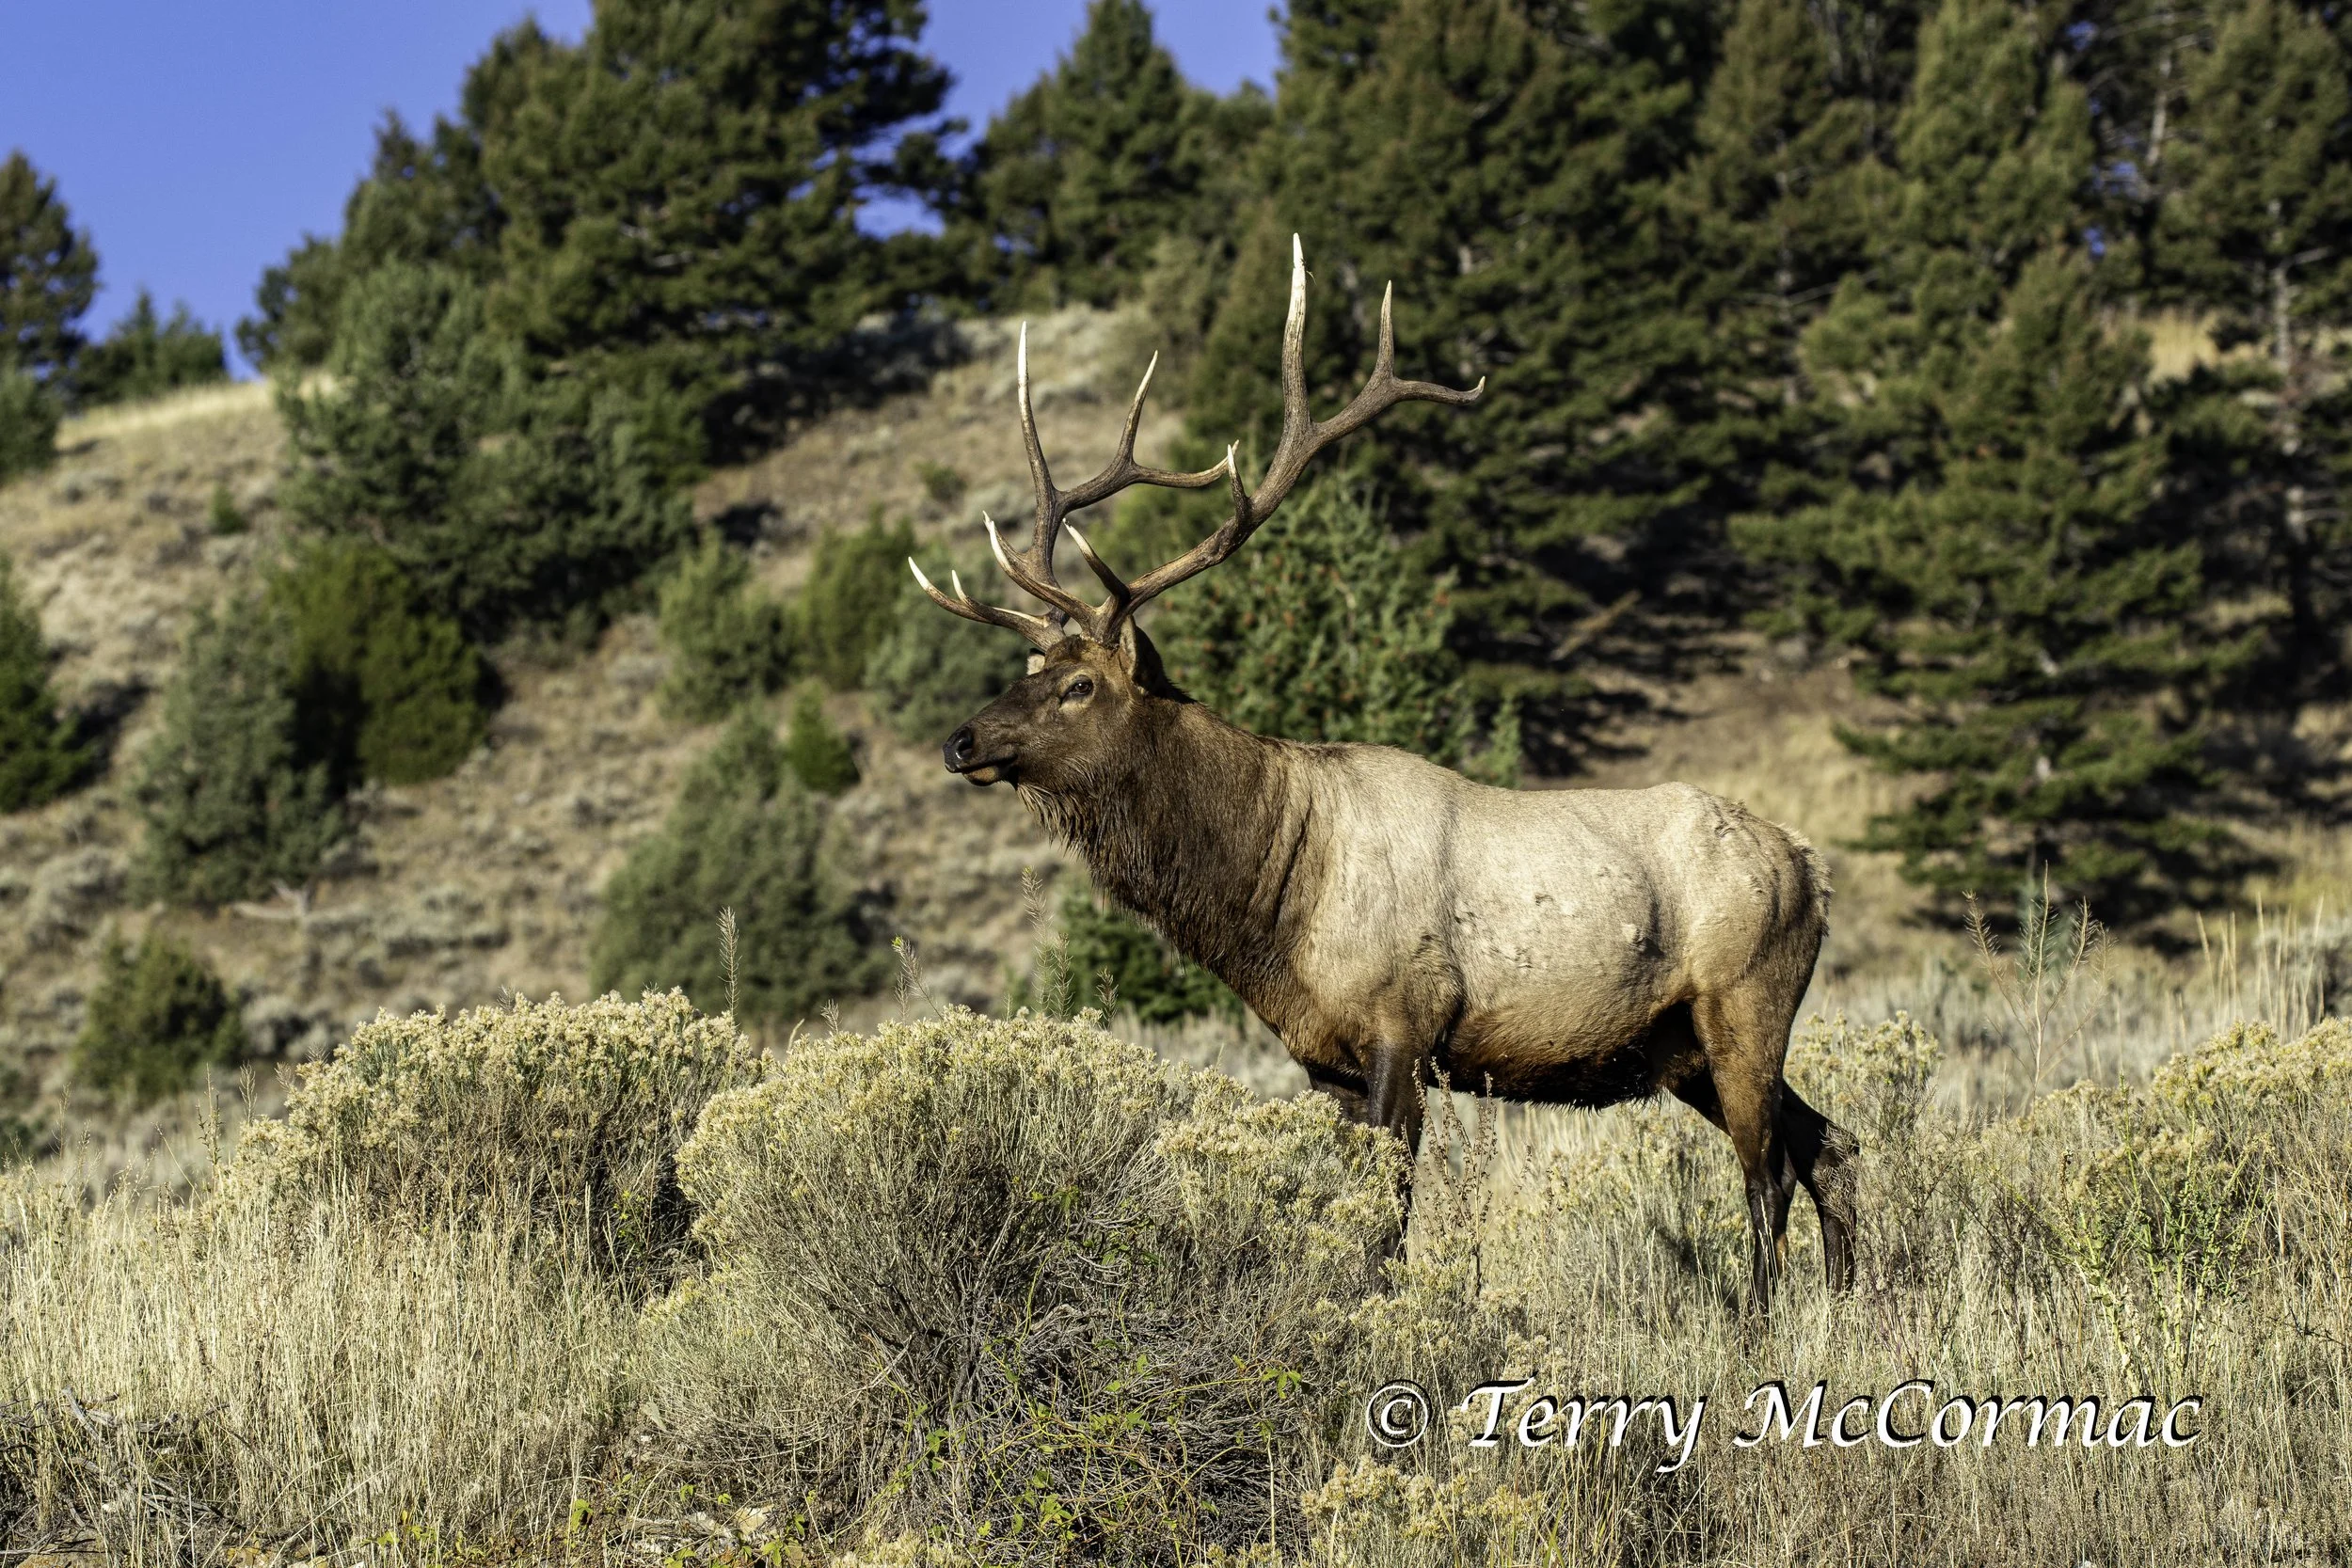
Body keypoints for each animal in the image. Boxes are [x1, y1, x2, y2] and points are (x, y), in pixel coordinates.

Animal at [908, 236, 1858, 1311]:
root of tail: (1812, 864)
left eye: (1076, 684)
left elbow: (1388, 1222)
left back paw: (1759, 1317)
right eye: (1026, 666)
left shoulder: (1406, 1022)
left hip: (1745, 999)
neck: (1273, 900)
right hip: (1681, 1046)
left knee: (1768, 1171)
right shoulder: (1318, 1053)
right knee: (1831, 1145)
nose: (961, 740)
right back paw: (1848, 1305)